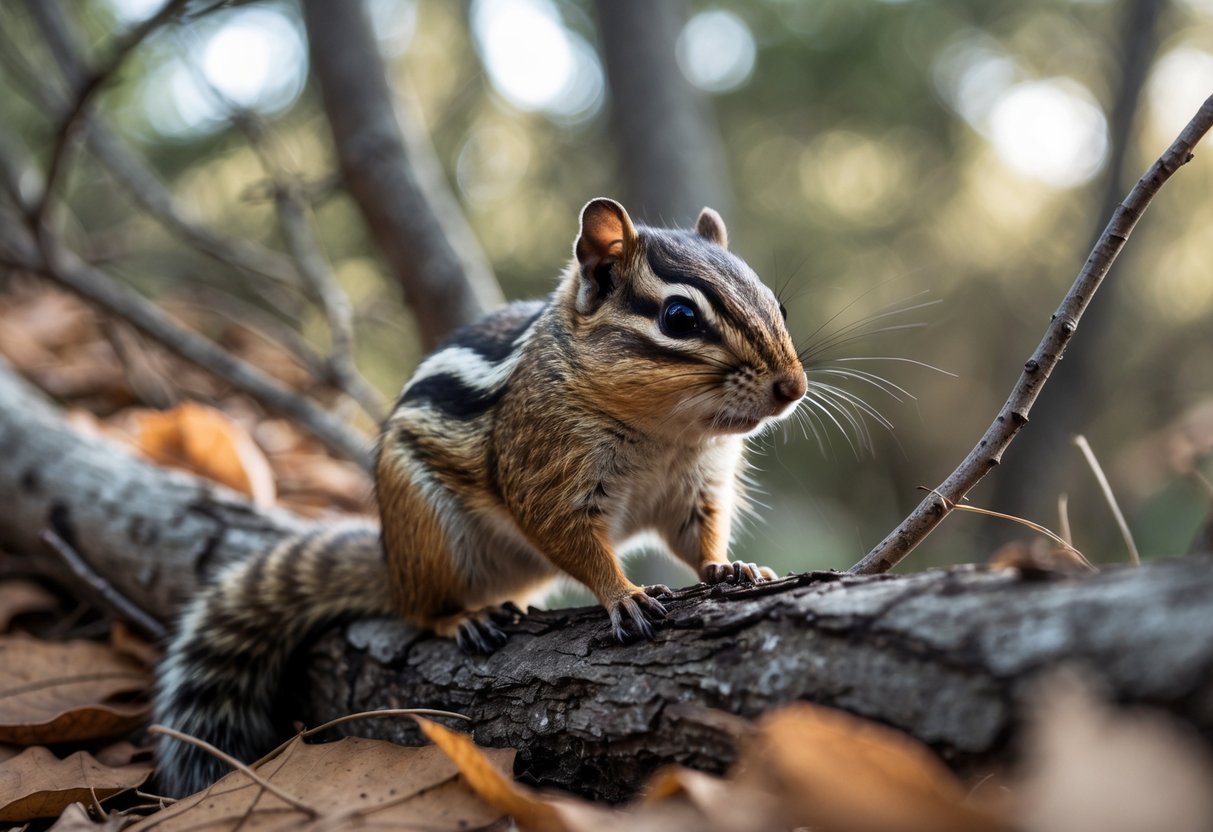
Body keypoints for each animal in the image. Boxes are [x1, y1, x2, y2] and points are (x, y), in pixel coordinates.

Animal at [154, 198, 807, 797]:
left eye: (775, 304)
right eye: (679, 316)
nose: (793, 387)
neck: (667, 434)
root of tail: (393, 565)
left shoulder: (698, 486)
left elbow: (698, 536)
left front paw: (729, 567)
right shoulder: (545, 473)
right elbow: (570, 539)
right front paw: (622, 595)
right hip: (429, 533)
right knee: (419, 610)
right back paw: (462, 618)